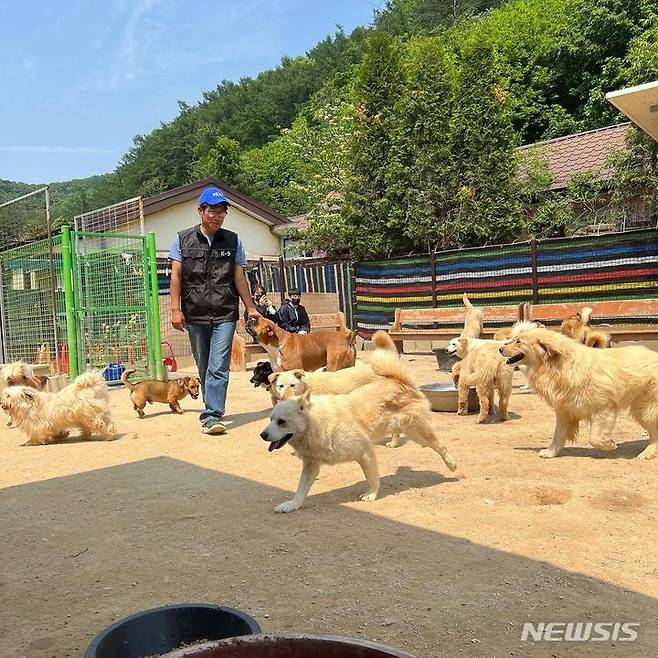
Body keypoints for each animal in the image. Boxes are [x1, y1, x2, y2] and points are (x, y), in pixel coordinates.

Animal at [258, 346, 456, 510]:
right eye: (271, 419)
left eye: (282, 421)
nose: (262, 435)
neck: (316, 423)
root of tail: (398, 381)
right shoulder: (310, 466)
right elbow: (301, 489)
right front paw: (291, 504)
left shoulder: (365, 453)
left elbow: (372, 477)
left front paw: (371, 495)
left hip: (418, 433)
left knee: (441, 446)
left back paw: (452, 465)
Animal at [498, 326, 656, 458]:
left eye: (518, 341)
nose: (500, 349)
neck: (558, 367)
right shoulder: (564, 411)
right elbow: (558, 435)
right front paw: (550, 453)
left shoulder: (604, 408)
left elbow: (594, 438)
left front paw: (610, 445)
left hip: (645, 409)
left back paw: (648, 453)